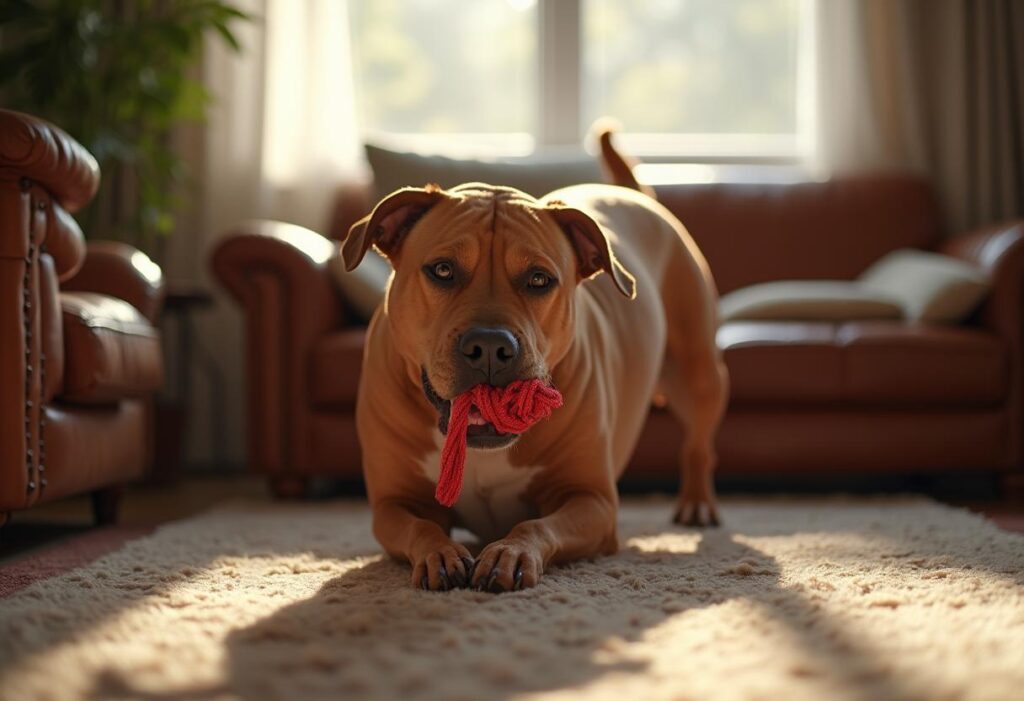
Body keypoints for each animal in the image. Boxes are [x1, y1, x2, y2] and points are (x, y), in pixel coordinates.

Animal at [344, 137, 729, 589]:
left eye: (539, 279)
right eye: (442, 270)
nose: (490, 346)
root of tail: (634, 195)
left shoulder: (592, 501)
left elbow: (538, 525)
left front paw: (509, 553)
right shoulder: (394, 503)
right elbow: (420, 527)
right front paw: (441, 553)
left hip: (697, 373)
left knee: (698, 444)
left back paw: (697, 504)